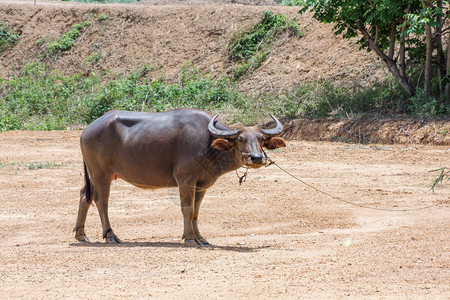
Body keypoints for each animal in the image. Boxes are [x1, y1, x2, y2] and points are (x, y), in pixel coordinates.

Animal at [74, 108, 284, 246]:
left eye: (261, 139)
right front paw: (190, 238)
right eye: (240, 139)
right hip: (101, 173)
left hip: (95, 175)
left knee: (85, 195)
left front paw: (201, 238)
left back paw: (81, 234)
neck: (208, 143)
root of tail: (87, 130)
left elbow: (196, 212)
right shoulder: (185, 179)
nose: (256, 158)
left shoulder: (201, 184)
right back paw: (110, 235)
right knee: (101, 201)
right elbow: (187, 209)